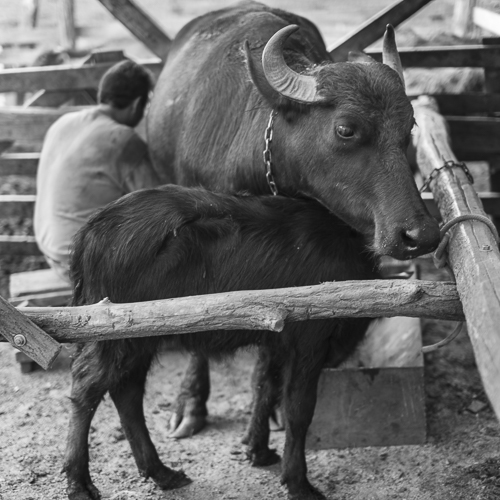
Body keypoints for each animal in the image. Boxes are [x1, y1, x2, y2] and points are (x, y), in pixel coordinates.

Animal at [146, 1, 440, 442]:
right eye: (346, 129)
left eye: (409, 127)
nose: (420, 234)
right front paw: (190, 403)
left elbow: (273, 341)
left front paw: (270, 407)